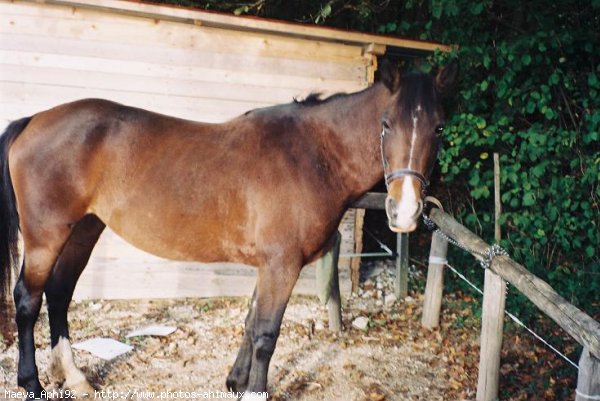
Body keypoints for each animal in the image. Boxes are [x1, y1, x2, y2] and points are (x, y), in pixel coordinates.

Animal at [0, 60, 458, 400]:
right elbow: (267, 334)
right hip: (46, 237)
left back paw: (74, 378)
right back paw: (33, 383)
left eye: (438, 127)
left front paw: (236, 383)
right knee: (28, 299)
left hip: (83, 230)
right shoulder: (282, 265)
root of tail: (34, 120)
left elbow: (251, 323)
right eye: (386, 124)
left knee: (59, 294)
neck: (311, 155)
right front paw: (255, 391)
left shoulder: (269, 265)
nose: (405, 211)